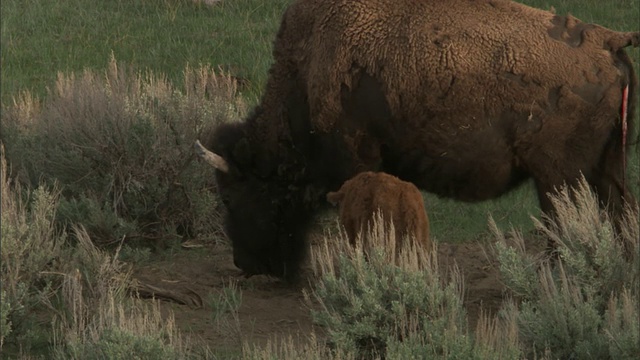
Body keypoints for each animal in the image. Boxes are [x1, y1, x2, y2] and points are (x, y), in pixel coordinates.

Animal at [195, 0, 640, 280]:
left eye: (232, 195)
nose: (245, 263)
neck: (306, 73)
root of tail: (608, 41)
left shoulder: (356, 164)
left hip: (559, 177)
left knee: (564, 224)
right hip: (605, 169)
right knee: (619, 218)